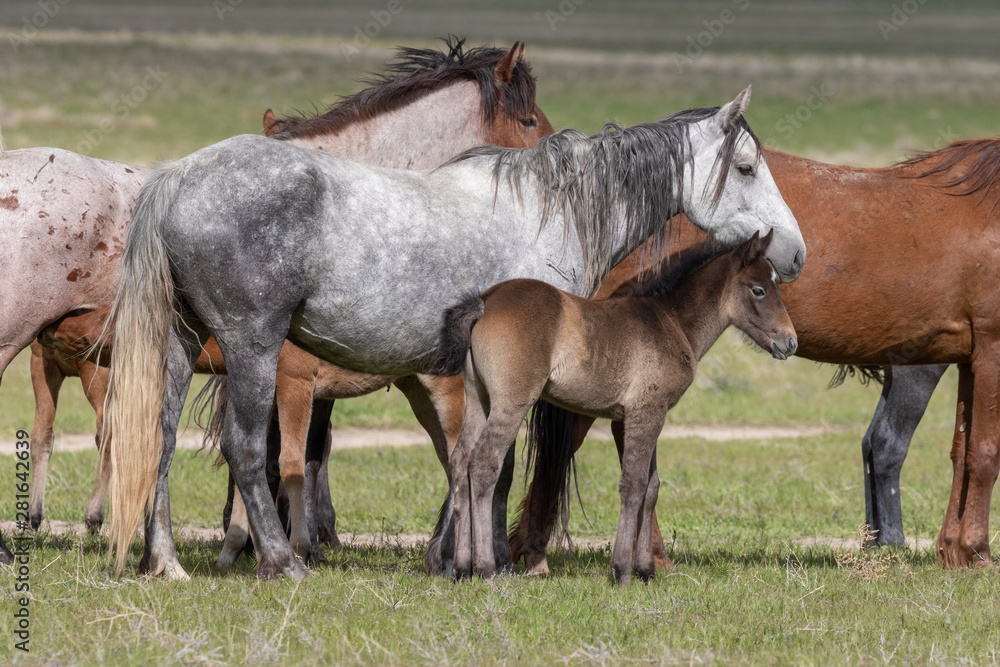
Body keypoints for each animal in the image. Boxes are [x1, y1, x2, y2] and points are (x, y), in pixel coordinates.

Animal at [21, 37, 555, 576]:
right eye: (529, 119)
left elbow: (301, 454)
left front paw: (269, 541)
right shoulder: (283, 375)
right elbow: (284, 456)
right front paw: (276, 545)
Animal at [431, 231, 795, 582]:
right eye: (759, 290)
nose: (789, 342)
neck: (671, 322)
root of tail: (485, 300)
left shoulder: (649, 414)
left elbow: (652, 487)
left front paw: (647, 571)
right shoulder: (645, 412)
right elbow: (633, 485)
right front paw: (622, 570)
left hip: (479, 398)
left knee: (460, 461)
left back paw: (461, 569)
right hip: (511, 402)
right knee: (483, 465)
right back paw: (487, 570)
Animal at [509, 138, 1000, 573]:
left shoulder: (970, 359)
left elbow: (961, 451)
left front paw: (952, 550)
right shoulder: (988, 353)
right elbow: (984, 452)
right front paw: (975, 551)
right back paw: (545, 552)